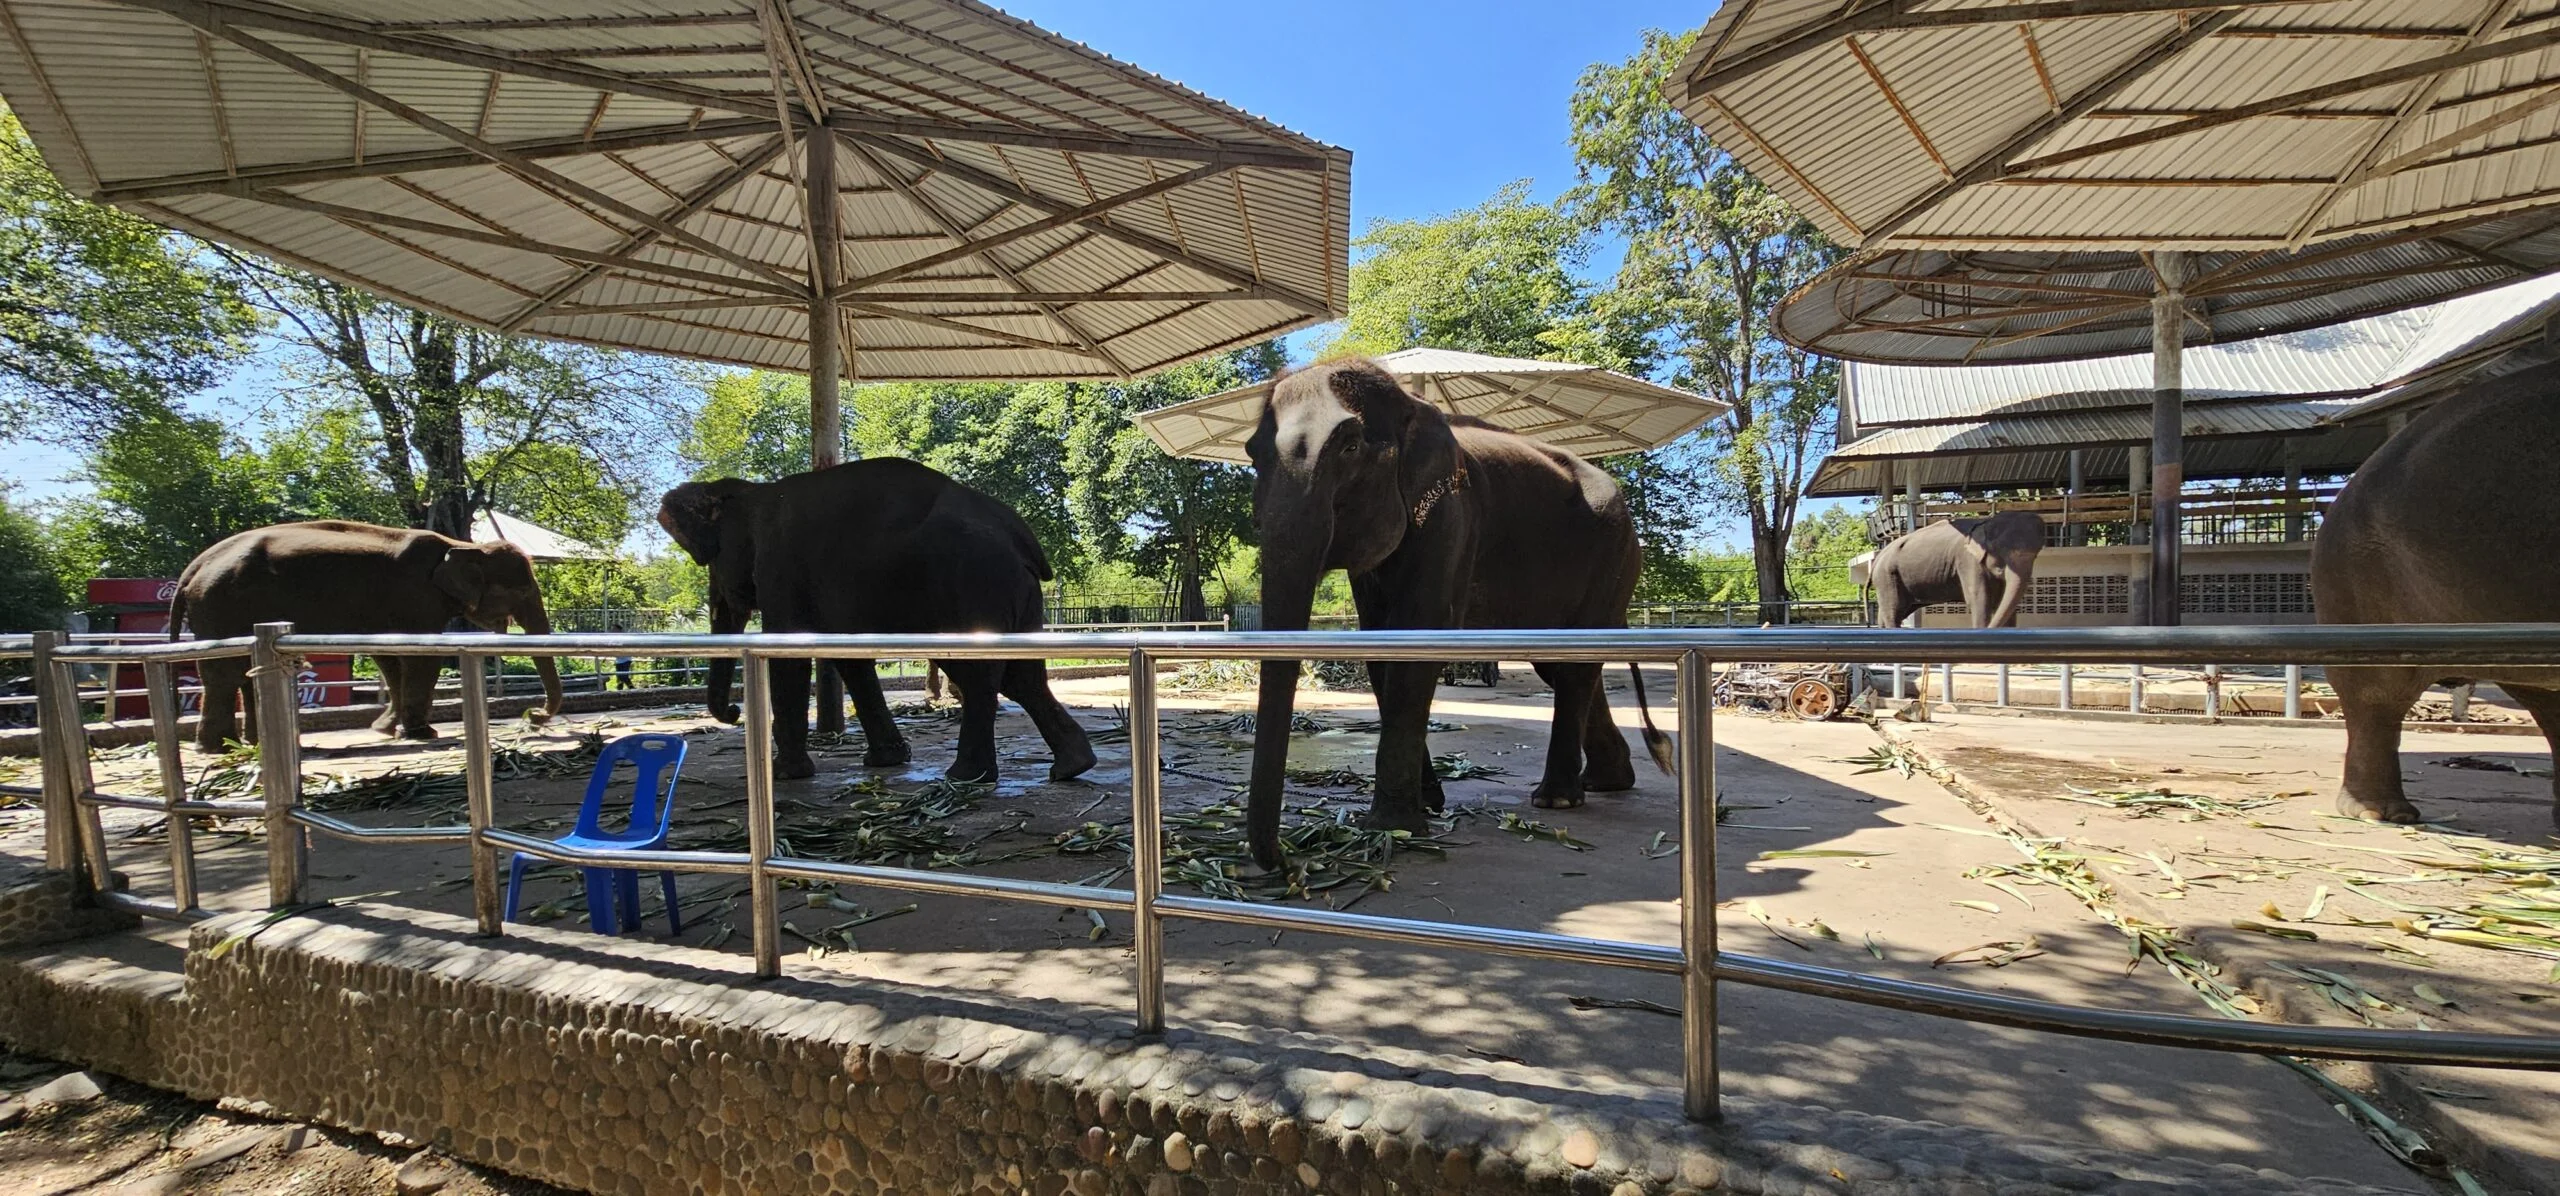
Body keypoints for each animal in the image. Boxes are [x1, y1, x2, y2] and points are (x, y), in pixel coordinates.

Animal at [170, 520, 564, 751]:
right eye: (523, 590)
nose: (533, 716)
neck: (461, 544)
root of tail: (193, 568)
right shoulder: (415, 596)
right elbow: (421, 656)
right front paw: (422, 733)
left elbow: (388, 656)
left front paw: (385, 729)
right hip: (222, 605)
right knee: (224, 673)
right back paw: (217, 748)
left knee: (237, 673)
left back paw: (247, 744)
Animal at [656, 458, 1095, 785]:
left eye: (712, 563)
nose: (733, 712)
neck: (751, 492)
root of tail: (1020, 538)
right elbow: (849, 657)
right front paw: (886, 761)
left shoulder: (781, 570)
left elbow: (789, 654)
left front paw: (786, 775)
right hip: (1014, 593)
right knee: (1023, 678)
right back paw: (1071, 767)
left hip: (970, 587)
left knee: (980, 677)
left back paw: (965, 777)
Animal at [1241, 359, 1669, 870]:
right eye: (1252, 455)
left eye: (1350, 447)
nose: (1288, 860)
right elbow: (1379, 647)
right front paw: (1427, 804)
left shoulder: (1451, 513)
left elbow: (1416, 640)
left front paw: (1393, 826)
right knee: (1563, 664)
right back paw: (1605, 783)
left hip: (1616, 553)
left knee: (1574, 665)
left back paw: (1557, 799)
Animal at [1871, 511, 2046, 629]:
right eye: (2000, 549)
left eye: (2037, 553)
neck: (1987, 522)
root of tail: (1879, 556)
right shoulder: (1967, 560)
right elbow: (1979, 598)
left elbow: (2002, 600)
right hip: (1887, 575)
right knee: (1893, 611)